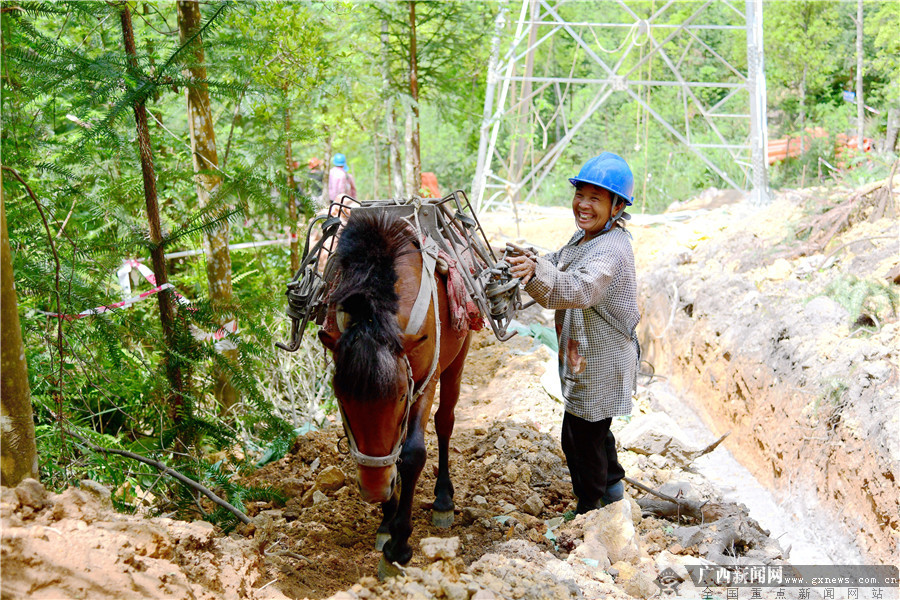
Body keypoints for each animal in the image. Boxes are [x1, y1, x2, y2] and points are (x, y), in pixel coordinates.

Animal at [316, 210, 472, 572]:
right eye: (342, 399)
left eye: (401, 396)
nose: (374, 490)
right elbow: (385, 455)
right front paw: (387, 522)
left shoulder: (425, 383)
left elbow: (413, 454)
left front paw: (398, 547)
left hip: (459, 356)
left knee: (445, 422)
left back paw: (443, 499)